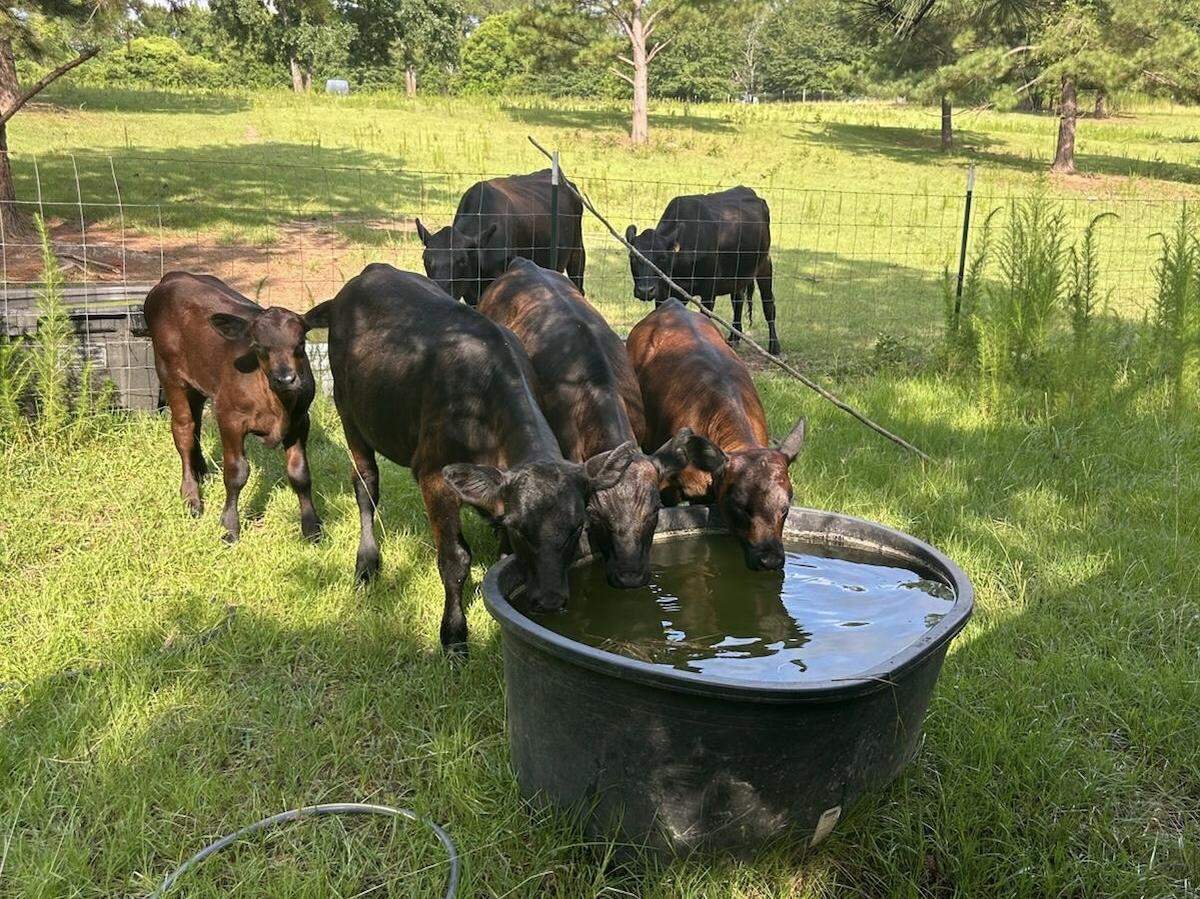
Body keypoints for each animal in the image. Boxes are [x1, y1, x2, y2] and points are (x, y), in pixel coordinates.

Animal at [144, 272, 321, 544]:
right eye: (258, 345)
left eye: (301, 343)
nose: (286, 379)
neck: (277, 402)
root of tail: (172, 277)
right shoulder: (230, 419)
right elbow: (236, 473)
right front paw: (229, 527)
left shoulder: (301, 420)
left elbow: (300, 473)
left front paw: (312, 527)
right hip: (170, 375)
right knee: (184, 430)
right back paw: (191, 497)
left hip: (199, 382)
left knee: (196, 424)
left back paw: (202, 471)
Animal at [305, 263, 623, 653]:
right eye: (521, 527)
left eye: (578, 525)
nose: (550, 600)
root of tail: (370, 272)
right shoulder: (434, 476)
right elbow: (455, 559)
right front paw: (454, 636)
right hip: (349, 414)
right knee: (366, 485)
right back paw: (367, 564)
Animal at [625, 185, 781, 356]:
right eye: (632, 256)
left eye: (662, 257)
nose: (645, 290)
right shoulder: (665, 292)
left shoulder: (708, 291)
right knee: (738, 301)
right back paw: (734, 337)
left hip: (765, 264)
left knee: (769, 304)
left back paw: (774, 347)